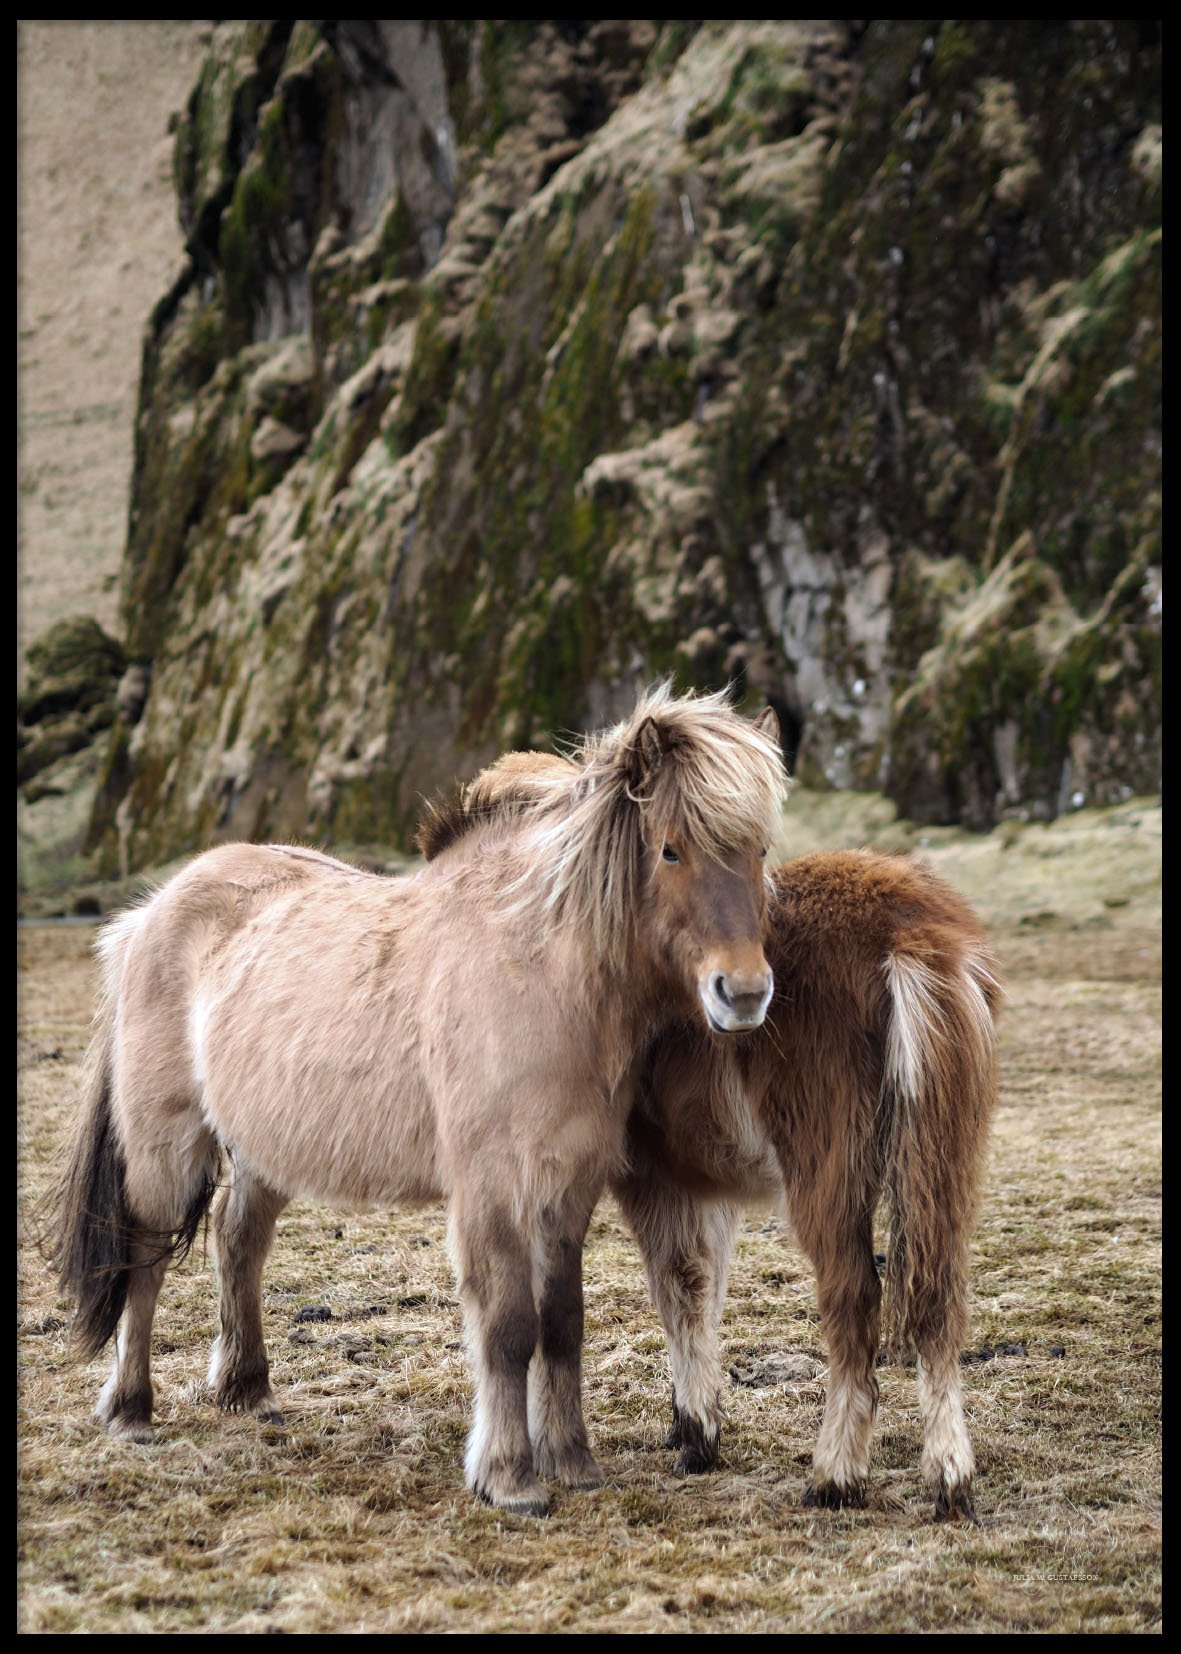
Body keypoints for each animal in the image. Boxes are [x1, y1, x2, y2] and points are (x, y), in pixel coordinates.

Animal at [49, 685, 787, 1516]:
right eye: (669, 850)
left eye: (758, 851)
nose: (743, 994)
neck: (537, 971)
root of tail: (150, 911)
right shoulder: (491, 1187)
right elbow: (508, 1326)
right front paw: (510, 1478)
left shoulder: (567, 1187)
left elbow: (562, 1322)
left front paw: (572, 1461)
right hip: (164, 1147)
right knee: (143, 1261)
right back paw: (131, 1410)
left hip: (262, 1150)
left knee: (237, 1244)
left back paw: (248, 1390)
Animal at [421, 751, 1001, 1522]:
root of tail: (908, 935)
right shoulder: (697, 1182)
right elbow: (702, 1285)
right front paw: (694, 1425)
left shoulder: (646, 1178)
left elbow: (676, 1287)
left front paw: (695, 1432)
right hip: (942, 1166)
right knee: (938, 1301)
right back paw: (948, 1480)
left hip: (830, 1174)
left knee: (853, 1301)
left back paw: (835, 1476)